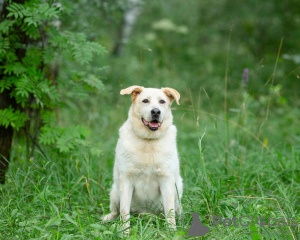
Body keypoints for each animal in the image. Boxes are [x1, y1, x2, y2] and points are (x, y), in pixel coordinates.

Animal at [102, 85, 183, 232]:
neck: (148, 141)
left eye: (162, 101)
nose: (156, 112)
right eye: (145, 100)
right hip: (115, 192)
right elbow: (124, 211)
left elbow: (170, 212)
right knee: (116, 211)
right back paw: (108, 219)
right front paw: (124, 231)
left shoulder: (167, 180)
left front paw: (171, 231)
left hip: (178, 190)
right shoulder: (126, 180)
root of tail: (145, 215)